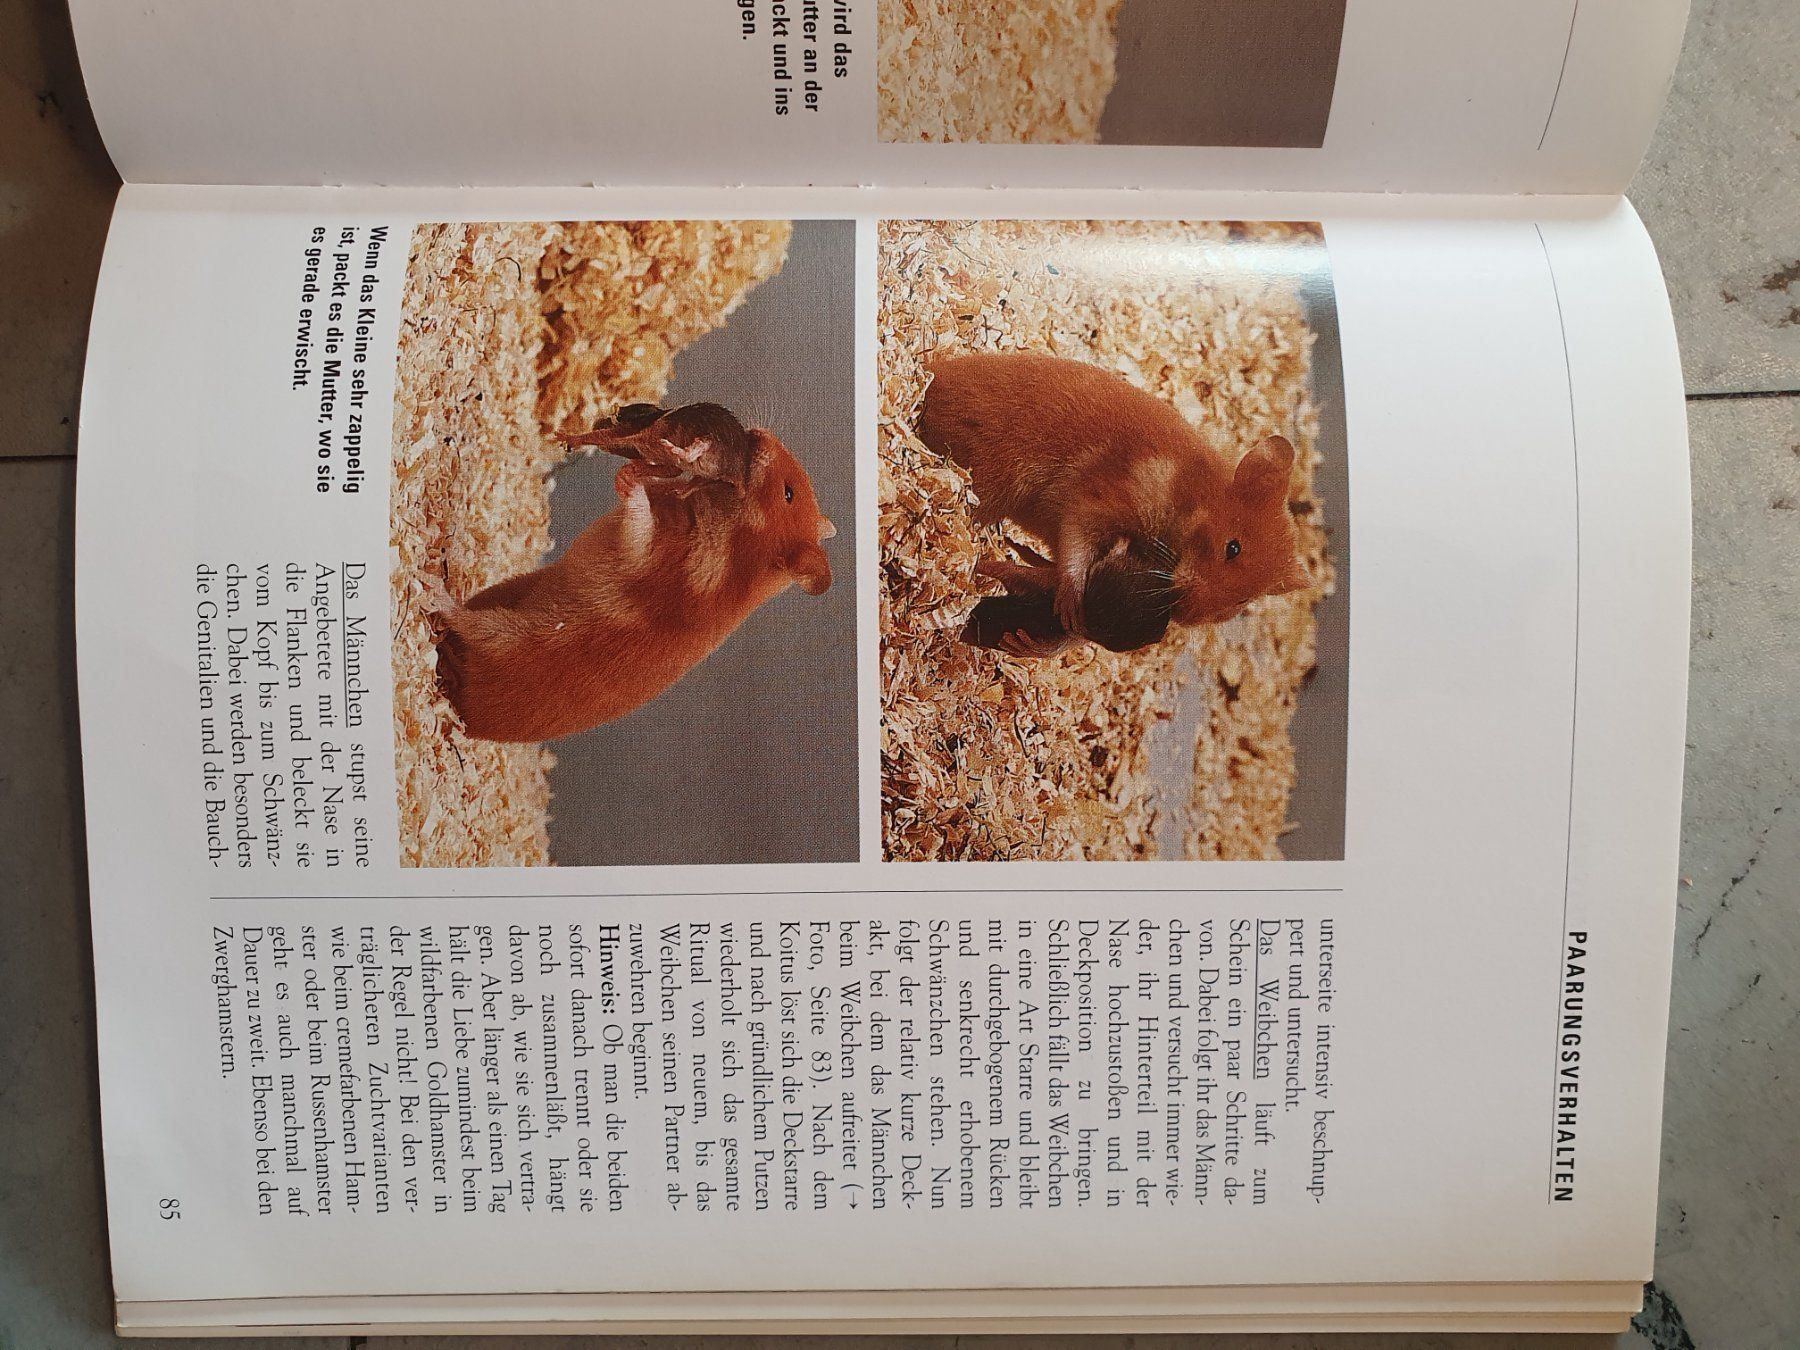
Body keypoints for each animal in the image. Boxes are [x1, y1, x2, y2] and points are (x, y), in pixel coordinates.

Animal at [433, 404, 835, 743]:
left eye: (788, 493)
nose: (758, 434)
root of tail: (474, 720)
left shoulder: (656, 558)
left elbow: (639, 514)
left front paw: (636, 476)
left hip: (508, 638)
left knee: (461, 620)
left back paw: (431, 589)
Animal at [918, 351, 1308, 633]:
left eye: (1245, 602)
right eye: (1232, 547)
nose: (1181, 616)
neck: (1188, 494)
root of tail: (929, 376)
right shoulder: (1097, 500)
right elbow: (1075, 554)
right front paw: (1070, 612)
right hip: (991, 483)